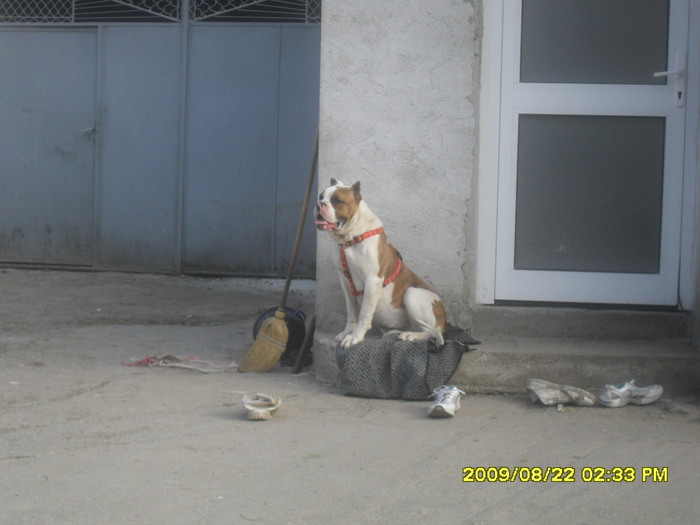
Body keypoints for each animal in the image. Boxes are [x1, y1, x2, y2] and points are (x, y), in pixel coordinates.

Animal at [314, 179, 446, 348]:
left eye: (337, 200)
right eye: (320, 196)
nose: (319, 205)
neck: (351, 237)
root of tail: (444, 320)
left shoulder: (372, 280)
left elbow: (364, 313)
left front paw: (355, 336)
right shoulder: (345, 281)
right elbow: (351, 311)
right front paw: (347, 331)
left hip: (412, 293)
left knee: (432, 331)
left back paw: (411, 335)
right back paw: (395, 332)